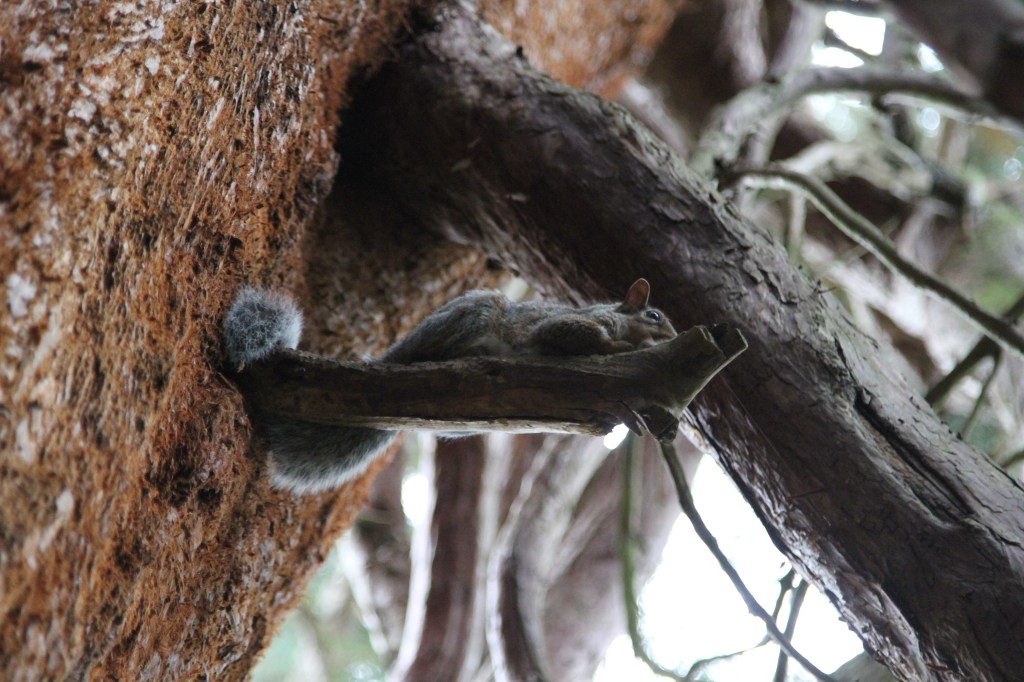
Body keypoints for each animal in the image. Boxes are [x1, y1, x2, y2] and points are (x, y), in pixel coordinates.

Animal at [223, 279, 677, 495]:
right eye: (654, 314)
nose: (673, 338)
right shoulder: (560, 326)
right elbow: (574, 336)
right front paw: (621, 345)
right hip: (476, 312)